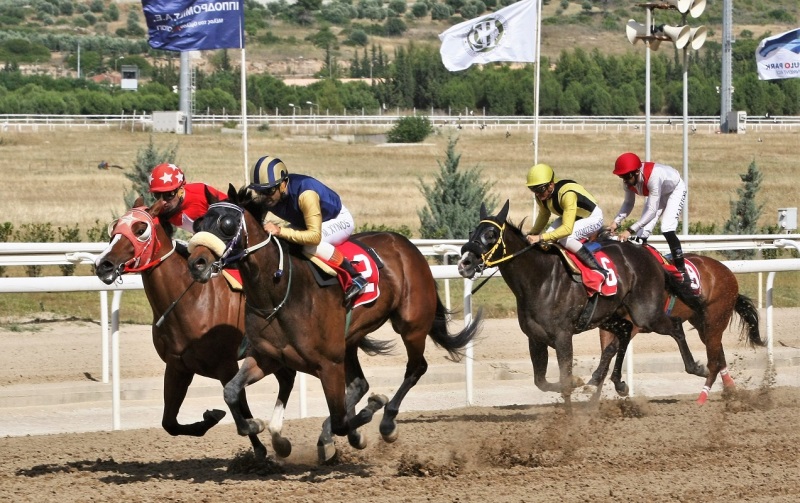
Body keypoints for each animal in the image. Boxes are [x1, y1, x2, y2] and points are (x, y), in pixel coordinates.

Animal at [92, 200, 296, 460]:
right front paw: (211, 418)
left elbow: (239, 402)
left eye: (140, 229)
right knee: (288, 379)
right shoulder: (178, 367)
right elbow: (169, 422)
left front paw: (258, 444)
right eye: (115, 227)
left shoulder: (225, 364)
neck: (191, 300)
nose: (103, 265)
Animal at [186, 186, 482, 464]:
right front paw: (255, 425)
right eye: (199, 224)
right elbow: (230, 391)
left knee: (416, 368)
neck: (278, 292)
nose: (196, 264)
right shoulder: (267, 357)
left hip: (411, 325)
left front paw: (365, 419)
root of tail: (406, 245)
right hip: (350, 340)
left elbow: (342, 420)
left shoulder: (328, 364)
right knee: (360, 383)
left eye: (227, 224)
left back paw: (387, 422)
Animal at [592, 252, 764, 406]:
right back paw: (730, 390)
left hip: (716, 318)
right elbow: (606, 355)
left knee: (714, 361)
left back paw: (702, 399)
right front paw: (594, 400)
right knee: (718, 355)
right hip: (703, 324)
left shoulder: (636, 323)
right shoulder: (607, 326)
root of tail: (726, 271)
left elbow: (611, 350)